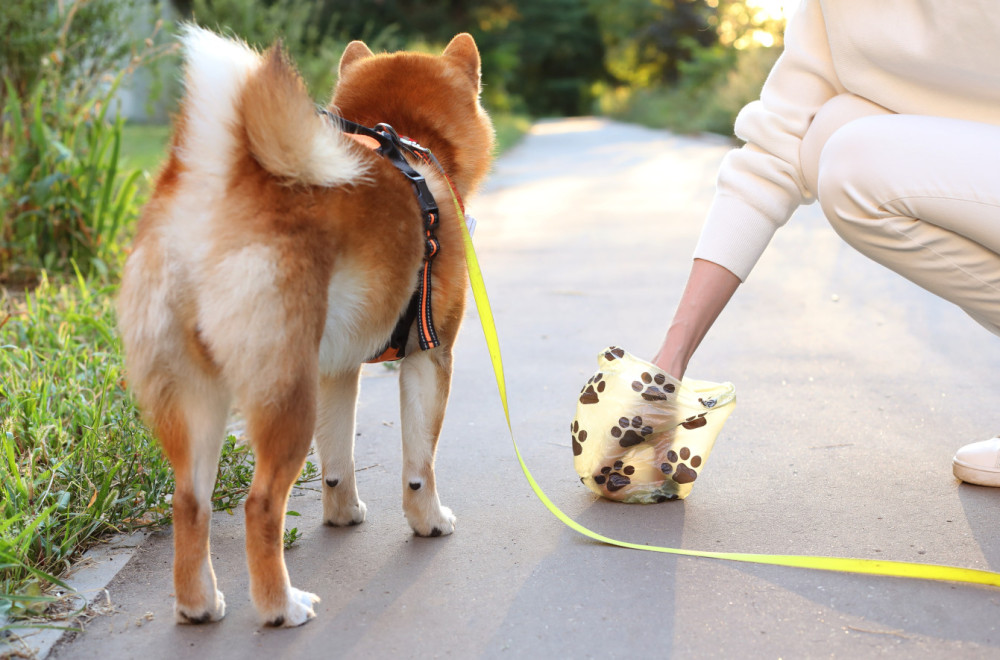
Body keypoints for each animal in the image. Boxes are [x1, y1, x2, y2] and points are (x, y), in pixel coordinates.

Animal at [119, 24, 494, 624]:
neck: (408, 142)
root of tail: (218, 191)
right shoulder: (429, 356)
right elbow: (420, 463)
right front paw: (429, 521)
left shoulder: (337, 370)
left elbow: (338, 460)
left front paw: (343, 513)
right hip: (286, 396)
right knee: (260, 505)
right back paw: (281, 606)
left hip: (198, 398)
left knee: (189, 503)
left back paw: (200, 605)